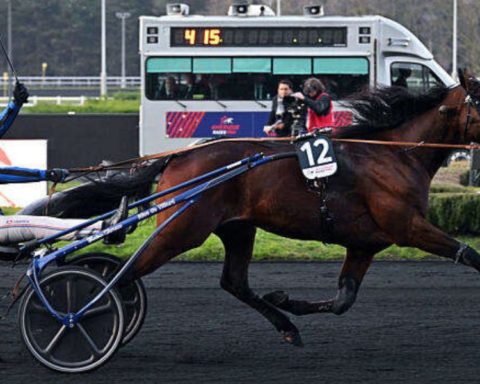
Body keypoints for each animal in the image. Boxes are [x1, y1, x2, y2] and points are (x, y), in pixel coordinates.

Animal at [22, 70, 480, 348]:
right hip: (183, 228)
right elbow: (469, 253)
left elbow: (343, 299)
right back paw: (72, 315)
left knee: (233, 282)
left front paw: (288, 301)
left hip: (237, 227)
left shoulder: (366, 243)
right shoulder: (408, 226)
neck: (395, 153)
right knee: (124, 273)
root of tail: (179, 156)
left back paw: (287, 325)